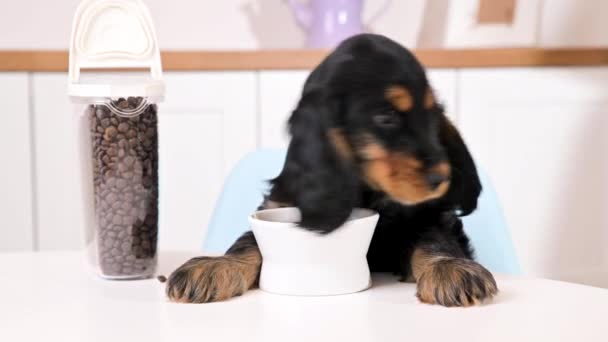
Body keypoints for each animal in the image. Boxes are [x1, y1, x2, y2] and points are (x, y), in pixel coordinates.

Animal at [164, 34, 496, 308]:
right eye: (386, 116)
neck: (366, 190)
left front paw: (450, 269)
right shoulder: (278, 207)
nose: (440, 179)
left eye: (433, 112)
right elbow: (249, 241)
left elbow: (433, 239)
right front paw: (213, 266)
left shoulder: (429, 216)